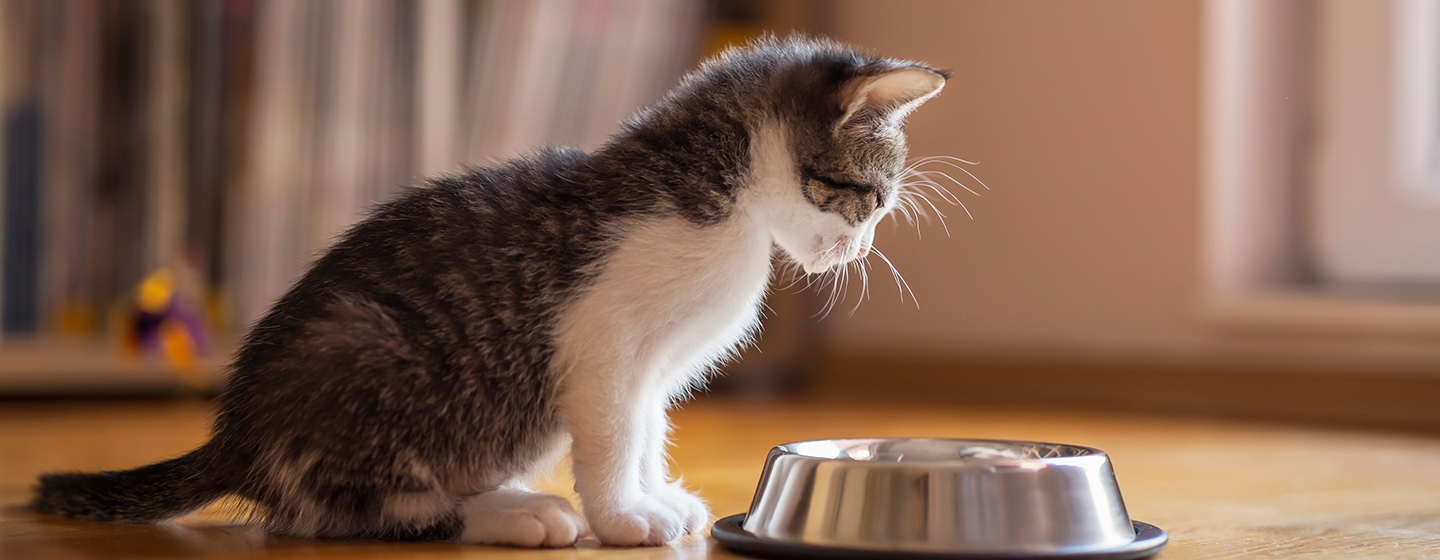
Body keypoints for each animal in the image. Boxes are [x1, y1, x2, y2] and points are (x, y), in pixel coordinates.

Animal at [30, 38, 944, 544]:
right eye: (869, 198)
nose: (859, 248)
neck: (723, 193)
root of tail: (237, 433)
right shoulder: (602, 338)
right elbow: (612, 433)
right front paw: (622, 518)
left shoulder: (651, 365)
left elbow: (647, 427)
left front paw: (652, 495)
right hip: (364, 350)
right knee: (332, 512)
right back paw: (509, 516)